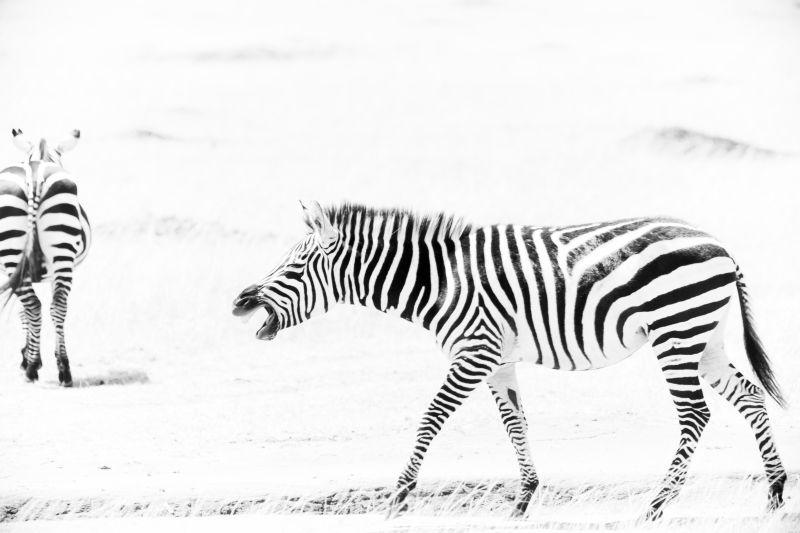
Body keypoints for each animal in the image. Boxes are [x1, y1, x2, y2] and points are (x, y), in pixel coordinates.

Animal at [0, 129, 91, 386]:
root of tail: (35, 175)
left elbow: (23, 312)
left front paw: (28, 358)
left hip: (16, 254)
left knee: (33, 306)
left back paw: (31, 368)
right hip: (62, 254)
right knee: (57, 304)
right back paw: (64, 370)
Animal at [231, 201, 788, 520]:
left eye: (295, 266)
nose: (239, 302)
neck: (439, 280)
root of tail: (720, 247)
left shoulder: (474, 351)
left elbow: (431, 418)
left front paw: (400, 496)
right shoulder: (496, 358)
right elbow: (514, 422)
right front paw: (523, 498)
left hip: (676, 332)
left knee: (695, 415)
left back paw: (655, 506)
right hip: (704, 338)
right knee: (749, 398)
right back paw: (776, 493)